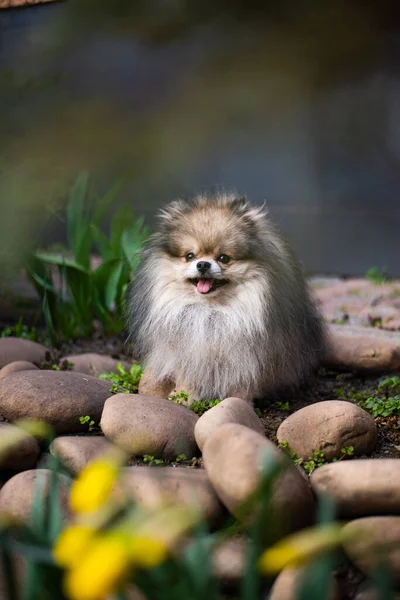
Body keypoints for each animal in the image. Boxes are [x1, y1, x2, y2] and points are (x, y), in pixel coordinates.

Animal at [126, 195, 326, 406]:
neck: (211, 312)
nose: (203, 264)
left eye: (223, 258)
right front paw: (181, 397)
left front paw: (238, 403)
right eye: (189, 256)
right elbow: (189, 376)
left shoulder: (248, 357)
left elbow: (242, 382)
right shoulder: (190, 352)